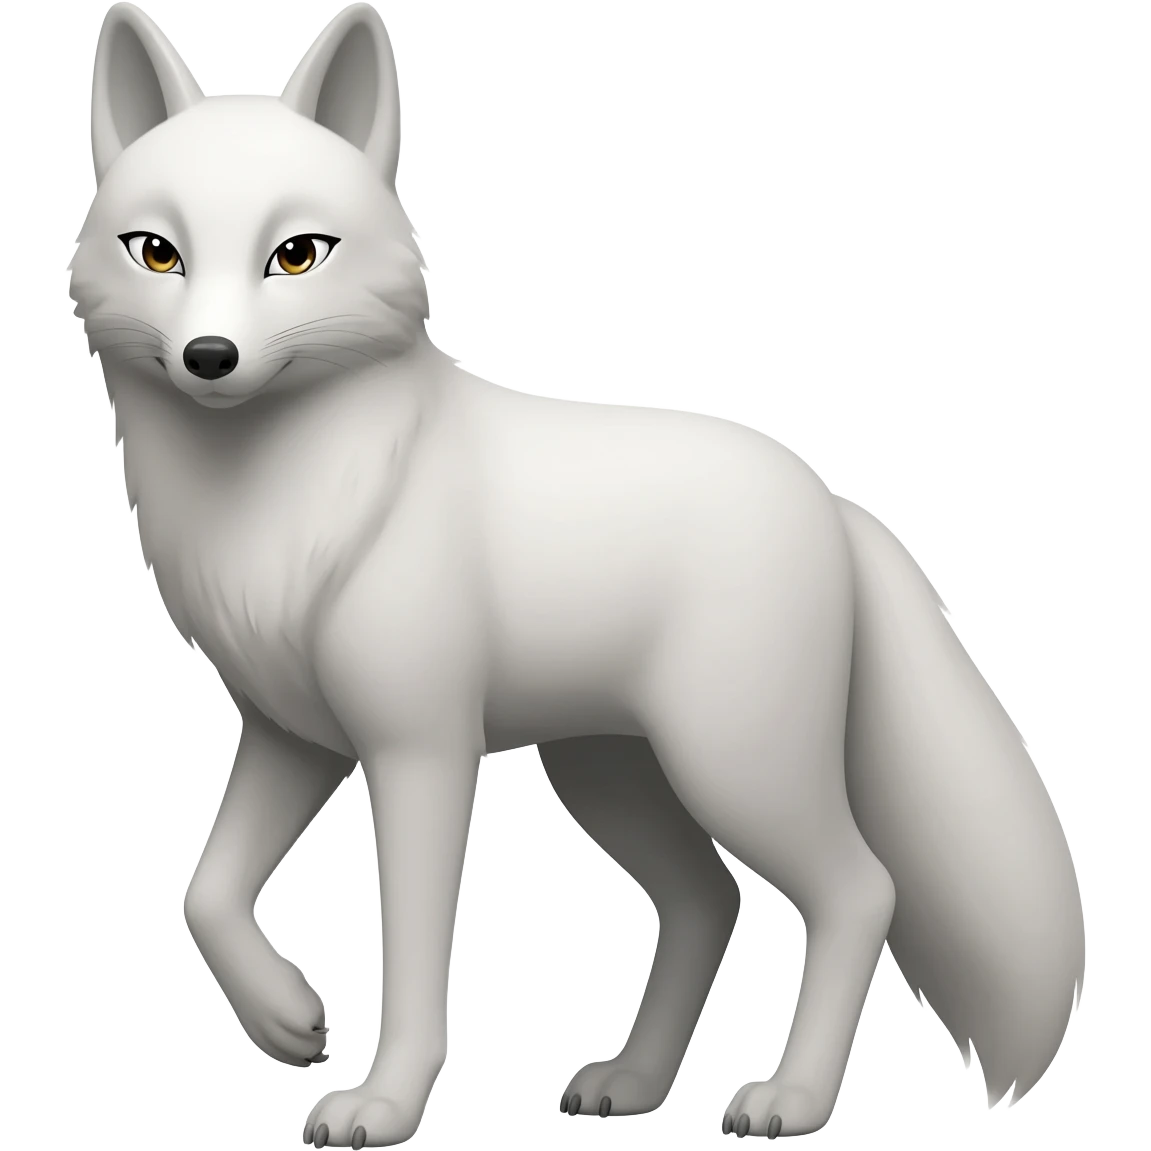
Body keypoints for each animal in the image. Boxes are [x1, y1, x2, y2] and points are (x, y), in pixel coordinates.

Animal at [69, 3, 1086, 1147]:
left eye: (295, 255)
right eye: (157, 250)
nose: (209, 355)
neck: (292, 497)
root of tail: (829, 498)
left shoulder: (420, 751)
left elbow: (412, 957)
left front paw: (384, 1103)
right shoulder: (292, 736)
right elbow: (202, 893)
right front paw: (290, 1017)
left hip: (732, 764)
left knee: (859, 889)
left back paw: (791, 1096)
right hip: (610, 775)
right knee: (708, 901)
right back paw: (632, 1083)